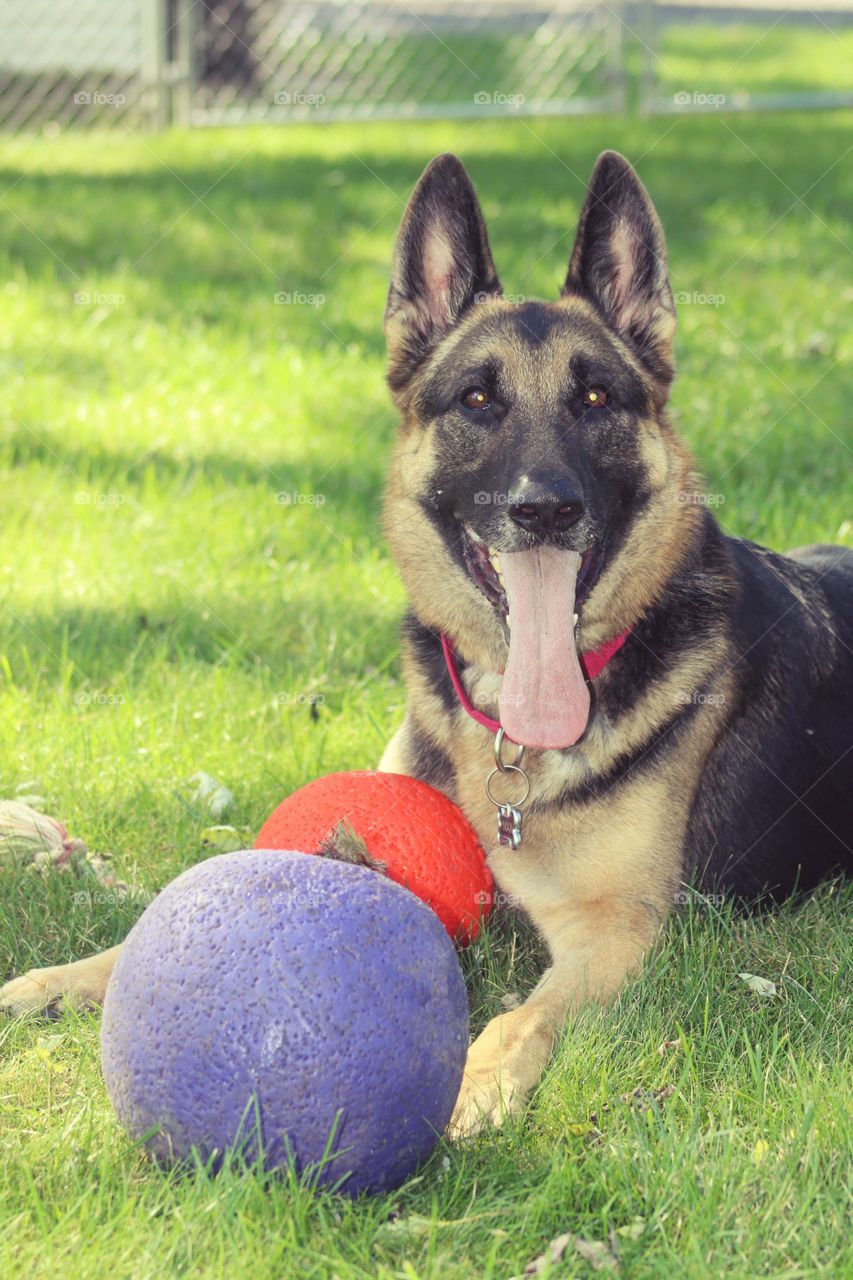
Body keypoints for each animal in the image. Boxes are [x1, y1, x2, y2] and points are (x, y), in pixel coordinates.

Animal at [1, 152, 850, 1141]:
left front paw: (476, 1080)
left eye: (595, 397)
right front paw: (67, 977)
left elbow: (521, 1014)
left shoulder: (614, 929)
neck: (509, 745)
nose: (543, 509)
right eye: (477, 400)